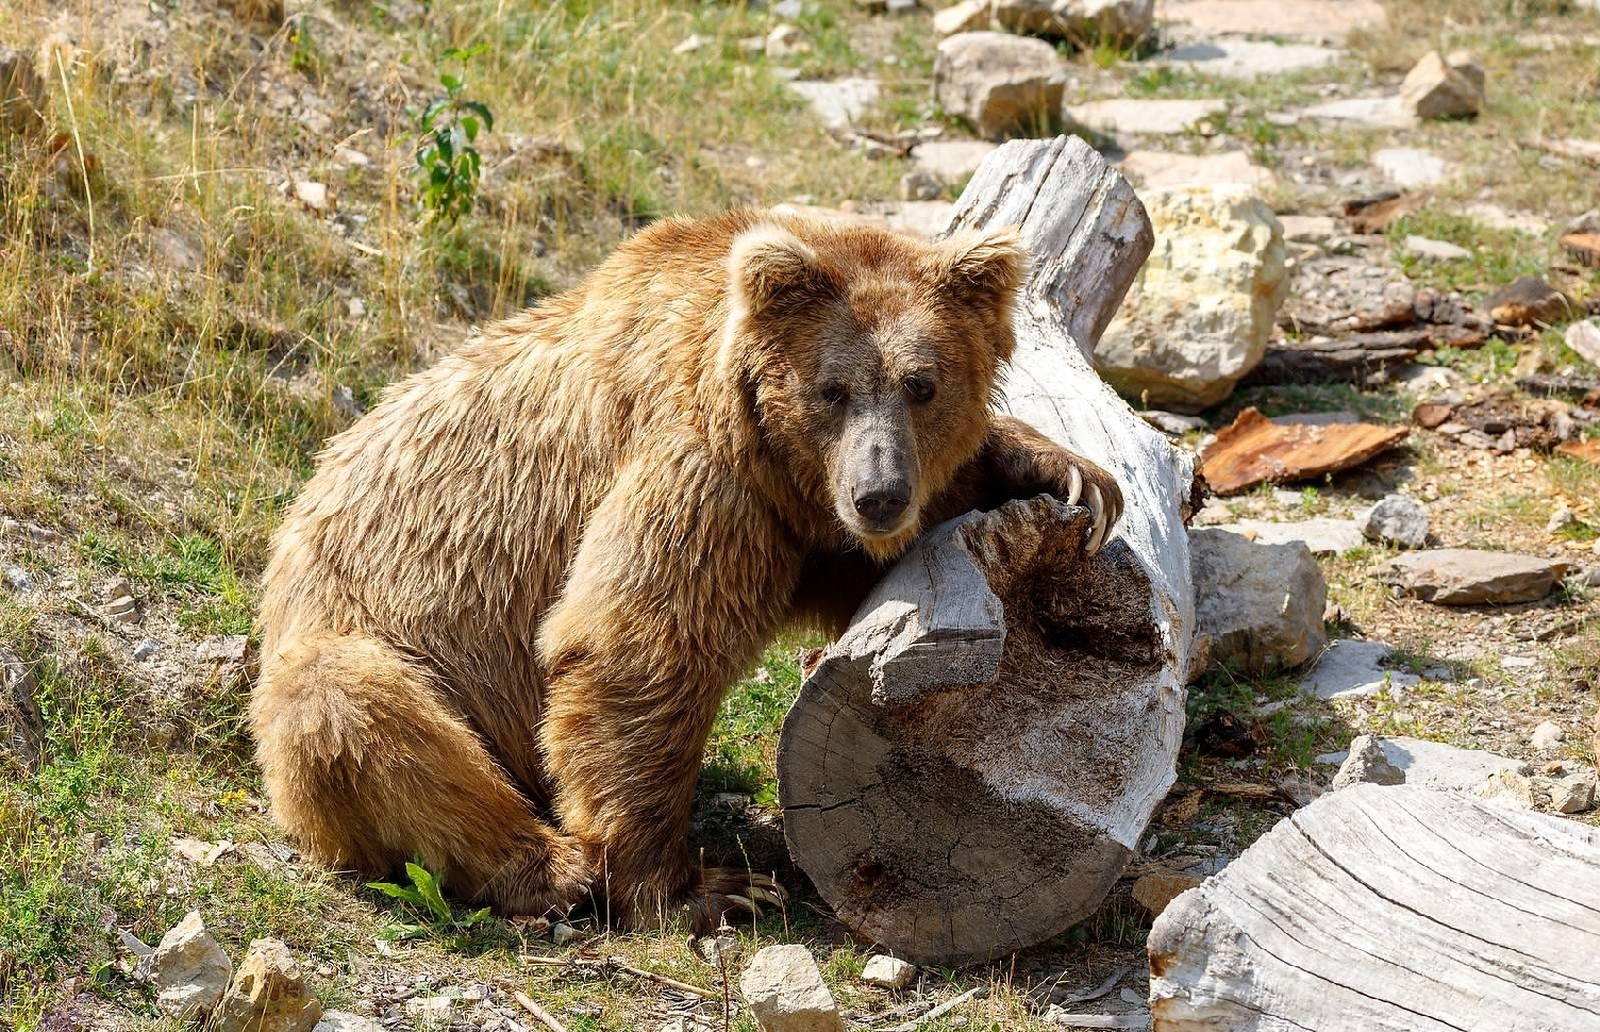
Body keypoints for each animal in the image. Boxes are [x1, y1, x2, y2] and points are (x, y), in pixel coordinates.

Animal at [252, 209, 1126, 934]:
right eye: (833, 389)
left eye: (923, 383)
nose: (878, 493)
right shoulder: (702, 468)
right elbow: (637, 645)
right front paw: (705, 890)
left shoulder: (795, 523)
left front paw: (1066, 474)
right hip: (369, 642)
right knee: (358, 715)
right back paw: (552, 869)